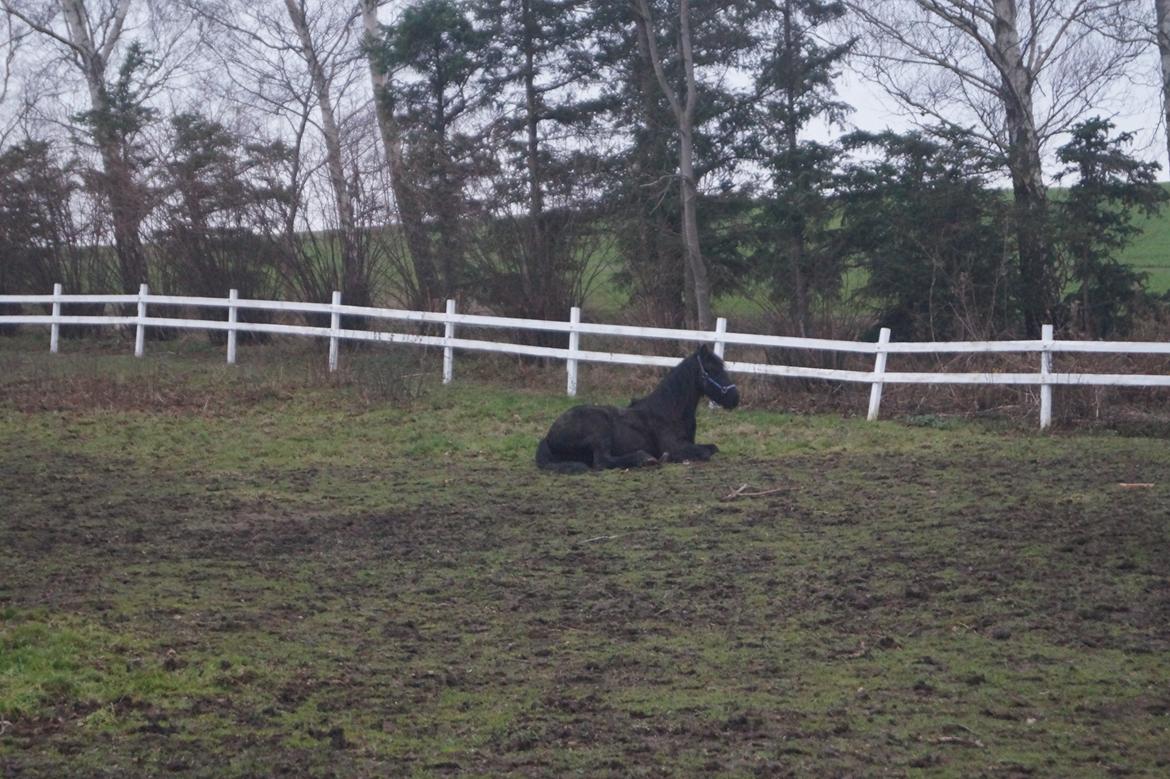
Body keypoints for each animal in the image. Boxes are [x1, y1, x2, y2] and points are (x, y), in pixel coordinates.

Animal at [533, 346, 734, 472]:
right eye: (712, 369)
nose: (735, 397)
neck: (668, 410)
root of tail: (548, 436)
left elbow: (713, 448)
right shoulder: (675, 447)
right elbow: (705, 452)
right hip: (599, 428)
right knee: (602, 461)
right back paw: (644, 458)